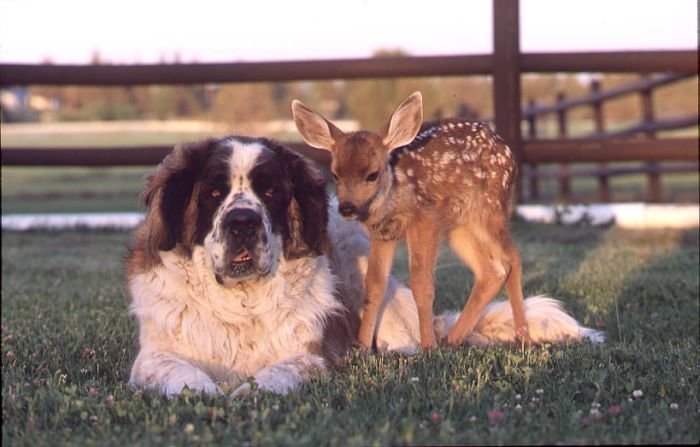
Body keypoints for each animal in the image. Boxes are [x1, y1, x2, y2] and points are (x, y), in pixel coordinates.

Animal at [124, 135, 600, 398]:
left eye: (271, 192)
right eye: (213, 193)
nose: (243, 222)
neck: (239, 305)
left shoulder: (312, 355)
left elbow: (280, 371)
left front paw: (245, 392)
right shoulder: (155, 356)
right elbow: (180, 373)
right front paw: (211, 393)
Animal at [292, 93, 528, 352]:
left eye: (372, 174)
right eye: (335, 174)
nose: (346, 208)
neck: (394, 196)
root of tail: (508, 151)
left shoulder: (425, 220)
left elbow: (421, 282)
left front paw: (428, 346)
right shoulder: (383, 234)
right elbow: (374, 285)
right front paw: (363, 346)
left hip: (490, 209)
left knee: (513, 259)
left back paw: (523, 335)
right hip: (459, 227)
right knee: (492, 271)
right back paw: (452, 339)